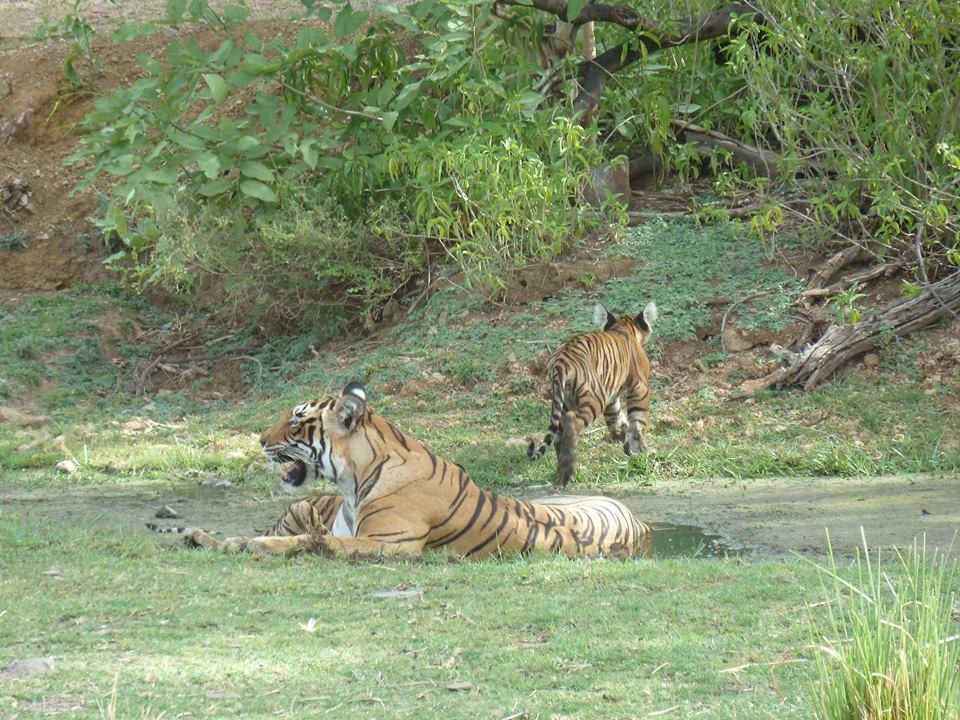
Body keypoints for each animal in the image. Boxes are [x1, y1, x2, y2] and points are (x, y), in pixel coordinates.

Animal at [193, 382, 649, 559]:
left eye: (294, 420)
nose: (258, 440)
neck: (351, 485)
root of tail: (638, 519)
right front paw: (211, 539)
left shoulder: (390, 543)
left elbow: (307, 541)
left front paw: (252, 544)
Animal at [527, 301, 657, 488]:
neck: (624, 327)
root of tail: (560, 362)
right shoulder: (639, 387)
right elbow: (639, 420)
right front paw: (641, 450)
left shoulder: (611, 395)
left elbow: (616, 416)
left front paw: (620, 436)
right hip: (594, 397)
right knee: (572, 422)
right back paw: (567, 474)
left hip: (564, 400)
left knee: (559, 434)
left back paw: (563, 472)